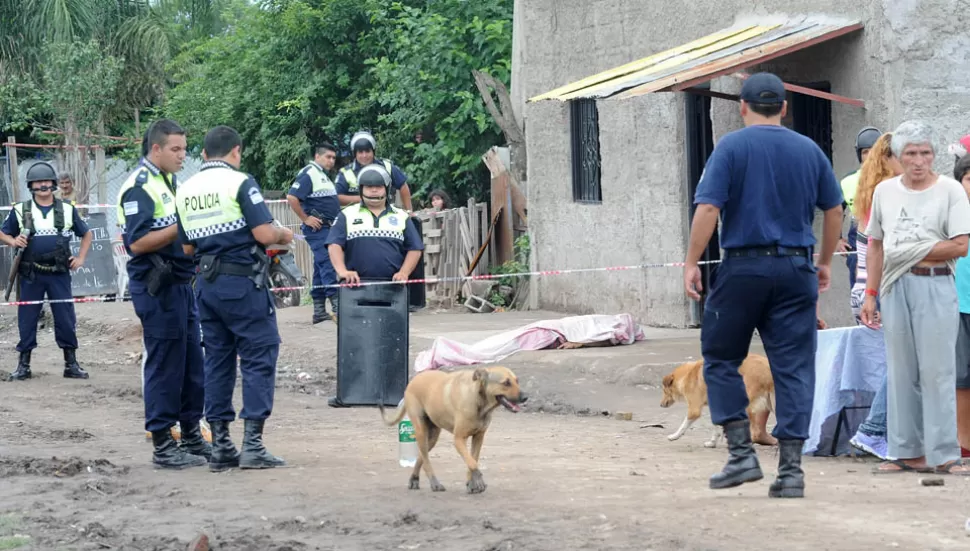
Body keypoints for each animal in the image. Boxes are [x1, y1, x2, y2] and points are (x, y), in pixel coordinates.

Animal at [380, 366, 528, 496]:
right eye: (506, 383)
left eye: (517, 381)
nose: (525, 397)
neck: (479, 400)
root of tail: (412, 381)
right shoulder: (458, 439)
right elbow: (472, 462)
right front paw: (478, 479)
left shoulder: (478, 437)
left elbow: (472, 459)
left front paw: (471, 484)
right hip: (421, 430)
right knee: (426, 460)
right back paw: (434, 483)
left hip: (432, 436)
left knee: (421, 456)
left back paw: (414, 478)